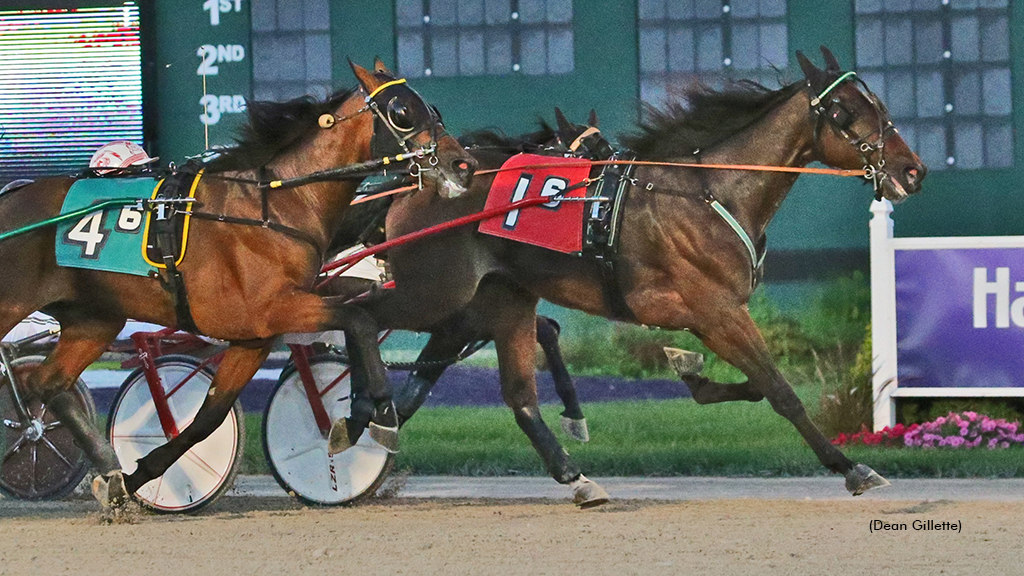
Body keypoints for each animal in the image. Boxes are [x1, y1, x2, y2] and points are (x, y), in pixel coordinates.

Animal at [0, 60, 473, 504]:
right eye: (402, 112)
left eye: (432, 108)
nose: (461, 164)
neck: (275, 204)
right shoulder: (270, 308)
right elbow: (358, 320)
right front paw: (375, 416)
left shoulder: (254, 335)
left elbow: (209, 416)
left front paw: (132, 479)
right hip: (16, 305)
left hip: (94, 320)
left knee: (45, 383)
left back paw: (106, 466)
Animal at [344, 45, 929, 502]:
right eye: (845, 110)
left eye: (878, 103)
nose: (912, 170)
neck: (709, 193)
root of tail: (421, 180)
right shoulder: (717, 310)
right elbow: (778, 389)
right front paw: (851, 466)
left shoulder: (706, 314)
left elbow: (751, 385)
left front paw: (691, 371)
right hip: (434, 291)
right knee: (356, 316)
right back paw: (366, 415)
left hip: (497, 297)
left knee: (510, 394)